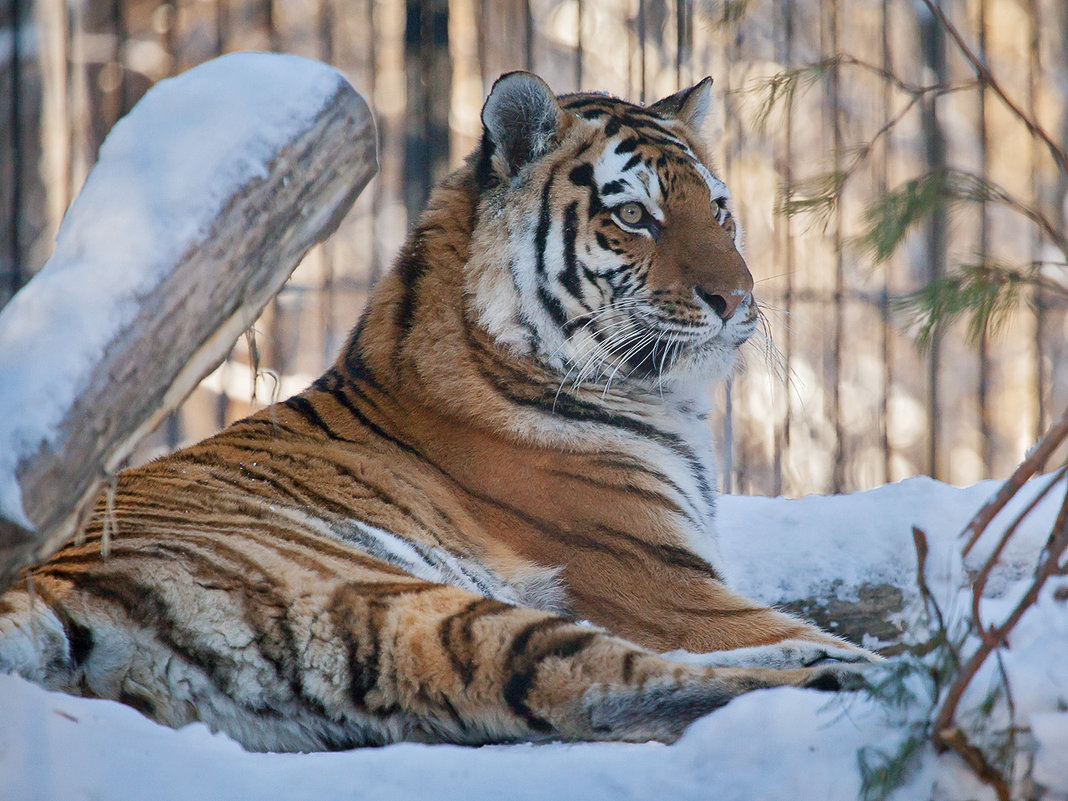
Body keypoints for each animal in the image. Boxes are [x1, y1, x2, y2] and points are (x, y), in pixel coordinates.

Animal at [0, 68, 875, 751]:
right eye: (633, 215)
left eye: (719, 209)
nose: (739, 298)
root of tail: (44, 592)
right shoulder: (667, 584)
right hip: (406, 600)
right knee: (605, 674)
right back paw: (858, 675)